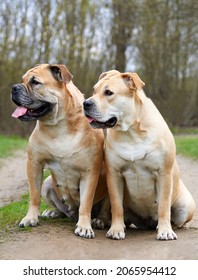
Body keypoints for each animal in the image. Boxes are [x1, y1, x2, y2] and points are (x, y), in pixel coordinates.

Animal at [10, 64, 108, 238]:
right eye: (22, 80)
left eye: (35, 82)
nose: (14, 88)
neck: (59, 126)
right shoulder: (34, 164)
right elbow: (33, 196)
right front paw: (30, 218)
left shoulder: (89, 172)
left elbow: (86, 203)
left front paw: (84, 227)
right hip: (47, 183)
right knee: (62, 209)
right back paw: (53, 212)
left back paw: (98, 220)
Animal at [83, 70, 196, 241]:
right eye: (94, 91)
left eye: (108, 93)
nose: (86, 103)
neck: (131, 131)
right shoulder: (114, 175)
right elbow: (116, 206)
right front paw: (116, 229)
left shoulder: (164, 174)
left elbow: (164, 206)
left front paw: (165, 230)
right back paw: (102, 221)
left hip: (186, 206)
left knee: (177, 218)